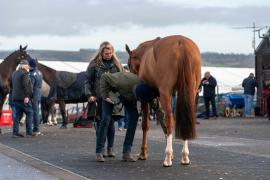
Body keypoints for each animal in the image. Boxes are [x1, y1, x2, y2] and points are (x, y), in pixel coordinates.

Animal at [126, 35, 200, 167]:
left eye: (129, 64)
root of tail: (181, 43)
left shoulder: (148, 97)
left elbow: (146, 124)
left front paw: (143, 153)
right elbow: (162, 121)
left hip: (166, 92)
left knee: (170, 119)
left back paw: (168, 157)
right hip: (190, 92)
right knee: (185, 118)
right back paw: (184, 156)